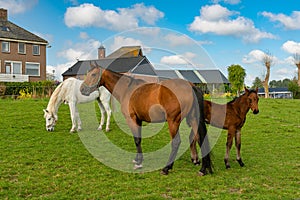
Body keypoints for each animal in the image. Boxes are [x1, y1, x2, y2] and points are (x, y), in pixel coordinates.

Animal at [78, 63, 212, 176]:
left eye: (93, 74)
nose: (82, 89)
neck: (127, 89)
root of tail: (190, 86)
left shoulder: (131, 119)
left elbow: (136, 139)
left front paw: (139, 163)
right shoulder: (139, 120)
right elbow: (139, 139)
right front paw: (138, 159)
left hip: (173, 121)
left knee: (176, 142)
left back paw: (166, 168)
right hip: (193, 119)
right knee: (200, 138)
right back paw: (203, 169)